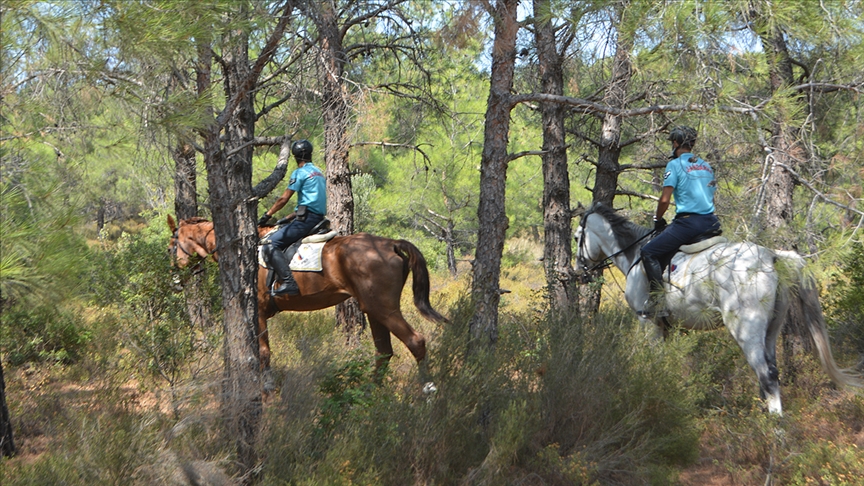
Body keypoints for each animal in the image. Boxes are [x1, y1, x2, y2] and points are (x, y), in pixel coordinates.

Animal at [170, 215, 452, 390]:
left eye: (172, 245)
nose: (176, 280)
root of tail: (391, 244)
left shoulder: (258, 311)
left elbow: (264, 353)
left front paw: (267, 389)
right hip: (373, 310)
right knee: (383, 352)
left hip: (384, 308)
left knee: (415, 342)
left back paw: (428, 390)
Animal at [572, 201, 856, 414]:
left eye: (577, 237)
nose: (579, 272)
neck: (635, 255)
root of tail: (771, 257)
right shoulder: (665, 327)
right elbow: (666, 361)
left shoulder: (648, 320)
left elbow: (652, 359)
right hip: (772, 329)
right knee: (771, 372)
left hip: (746, 330)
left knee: (766, 374)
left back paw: (773, 433)